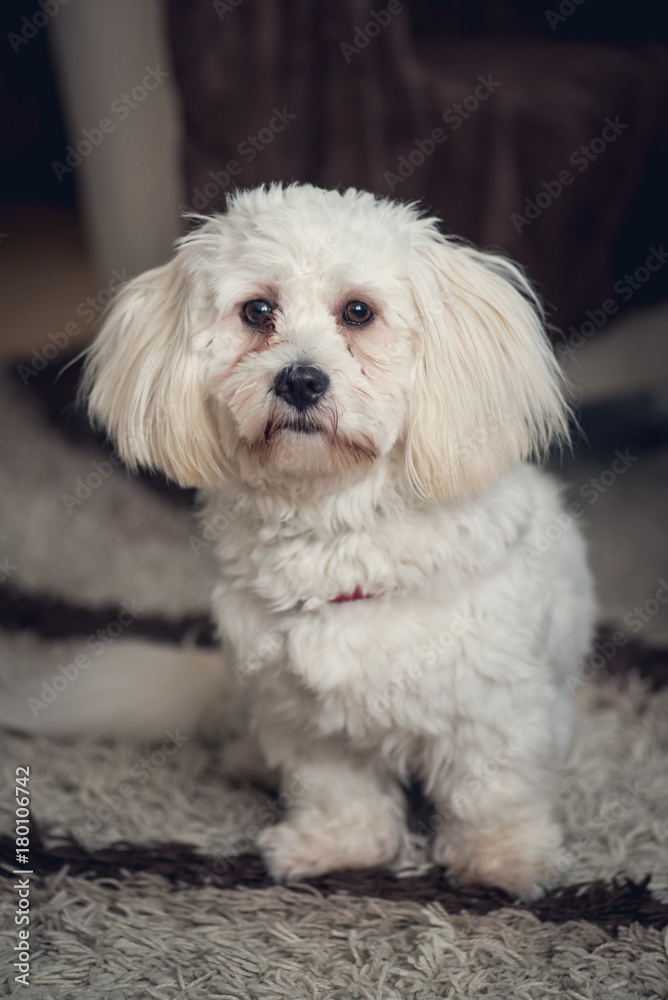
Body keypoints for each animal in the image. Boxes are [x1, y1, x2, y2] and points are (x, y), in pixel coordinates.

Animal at [72, 184, 596, 896]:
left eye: (358, 312)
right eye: (257, 310)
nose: (300, 379)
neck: (335, 531)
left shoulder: (495, 705)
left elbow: (493, 791)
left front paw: (502, 860)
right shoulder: (305, 716)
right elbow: (337, 791)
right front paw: (340, 847)